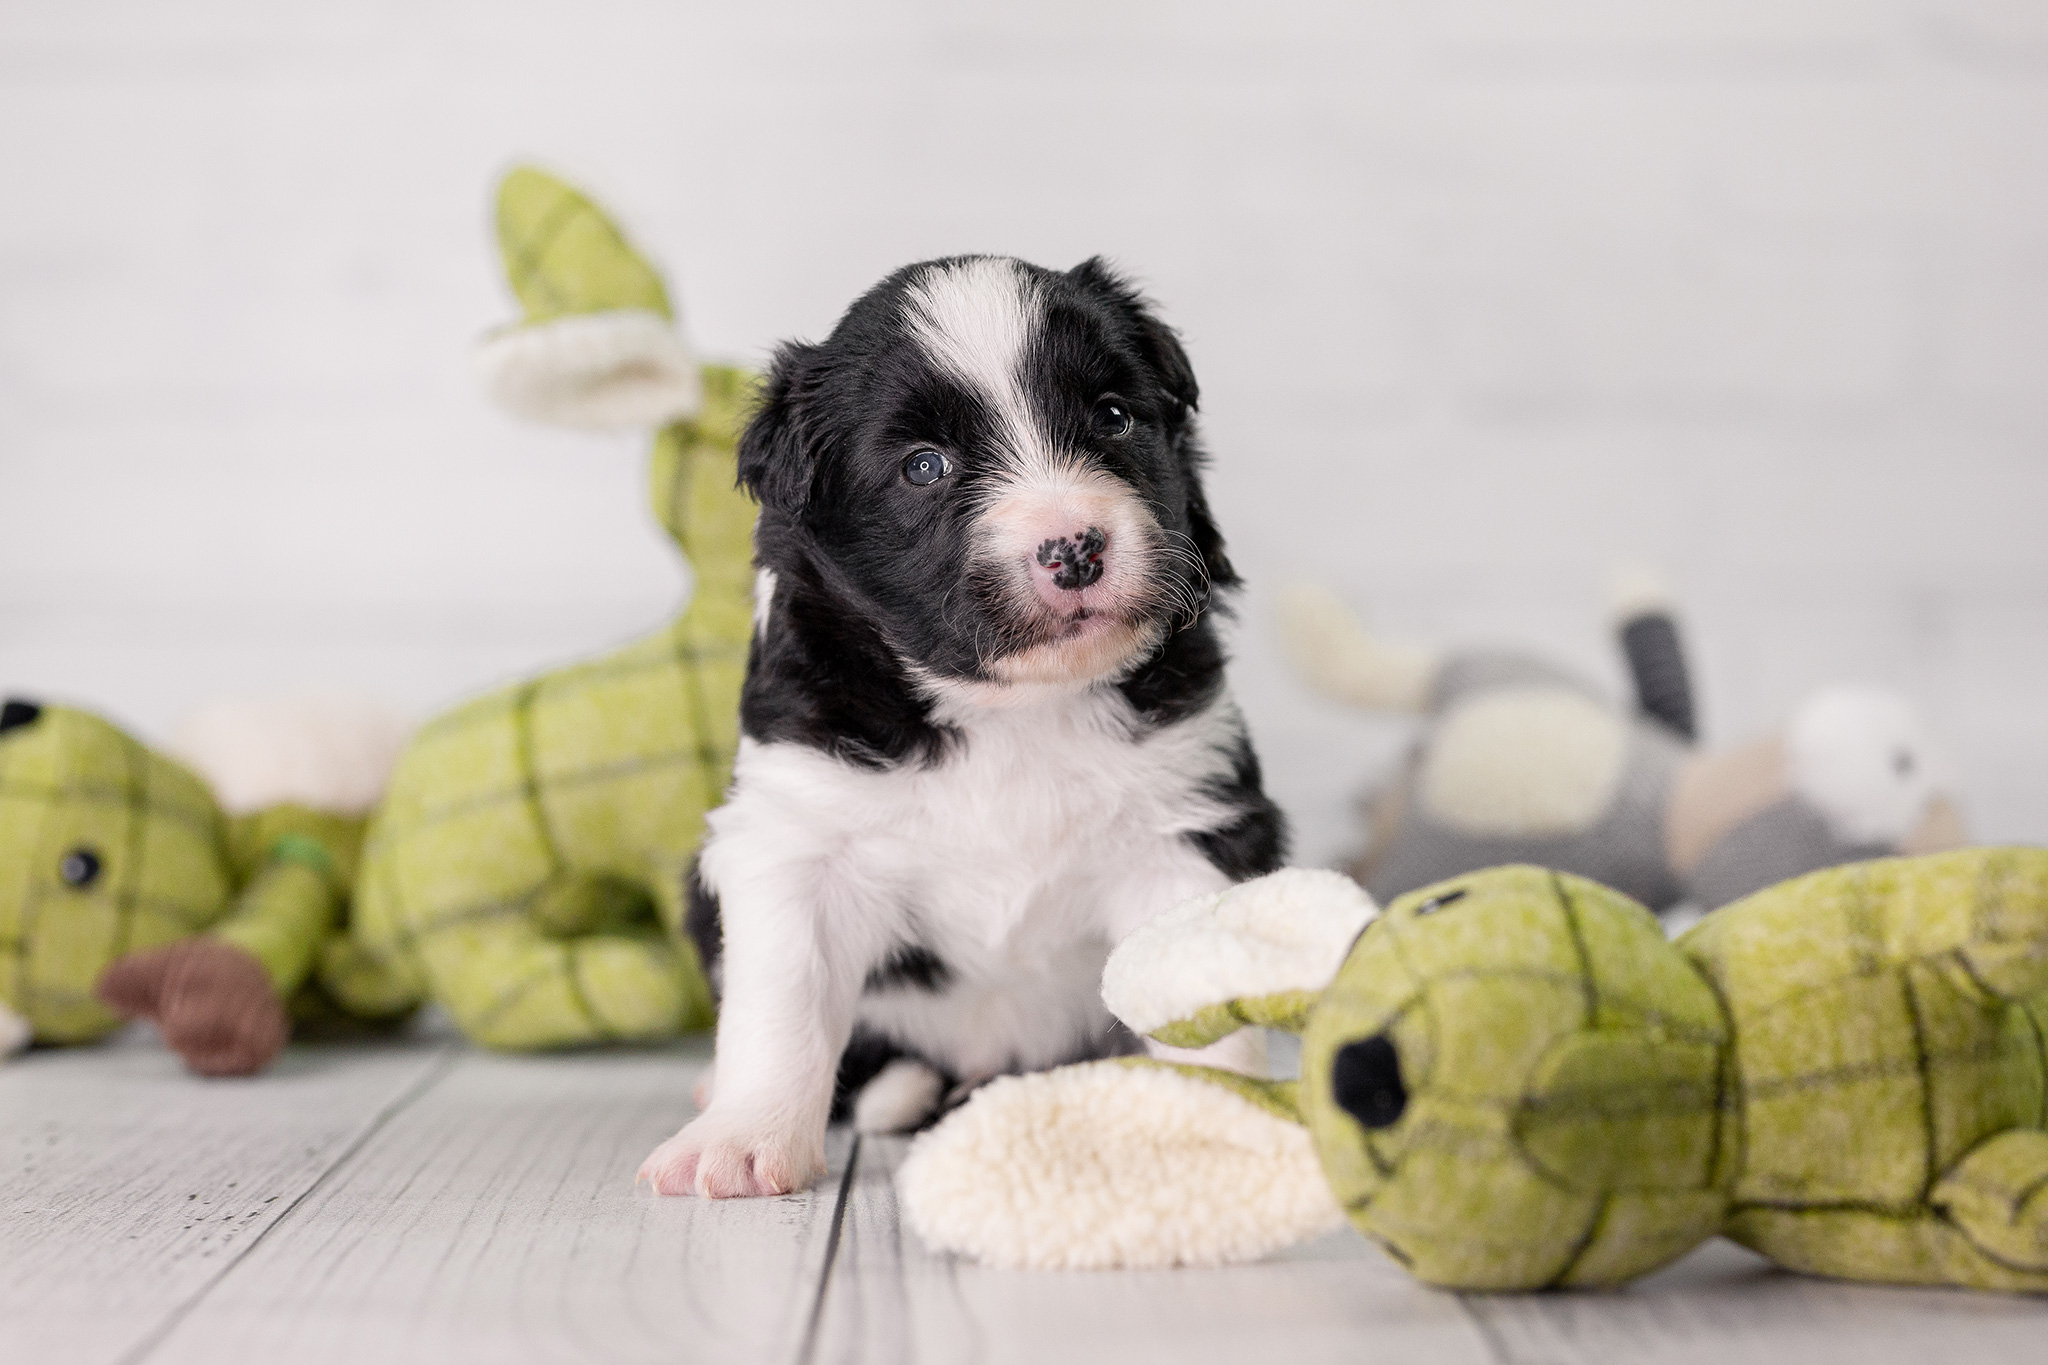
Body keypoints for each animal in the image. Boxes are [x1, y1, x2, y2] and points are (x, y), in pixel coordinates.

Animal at [638, 253, 1277, 1195]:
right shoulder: (799, 837)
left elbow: (1193, 992)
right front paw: (743, 1137)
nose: (1074, 548)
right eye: (925, 466)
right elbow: (782, 1005)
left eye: (1113, 416)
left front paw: (1224, 1122)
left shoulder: (1181, 823)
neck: (1010, 707)